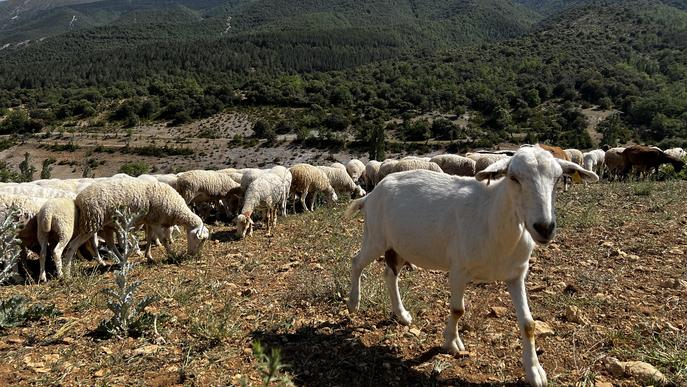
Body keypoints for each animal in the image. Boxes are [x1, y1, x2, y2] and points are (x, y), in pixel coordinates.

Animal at [64, 180, 210, 274]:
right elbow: (163, 240)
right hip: (92, 223)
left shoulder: (150, 221)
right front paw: (172, 255)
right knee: (72, 245)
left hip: (107, 225)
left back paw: (122, 260)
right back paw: (66, 272)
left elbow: (150, 238)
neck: (177, 209)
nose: (194, 256)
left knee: (110, 244)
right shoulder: (156, 221)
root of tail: (78, 200)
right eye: (200, 240)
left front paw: (149, 256)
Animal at [346, 146, 600, 387]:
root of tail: (372, 194)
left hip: (398, 246)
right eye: (513, 178)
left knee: (390, 274)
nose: (544, 227)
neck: (494, 219)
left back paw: (402, 314)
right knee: (356, 262)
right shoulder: (459, 269)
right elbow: (458, 310)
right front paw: (452, 342)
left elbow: (528, 324)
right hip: (375, 236)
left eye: (557, 179)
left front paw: (535, 371)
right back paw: (353, 303)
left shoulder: (516, 274)